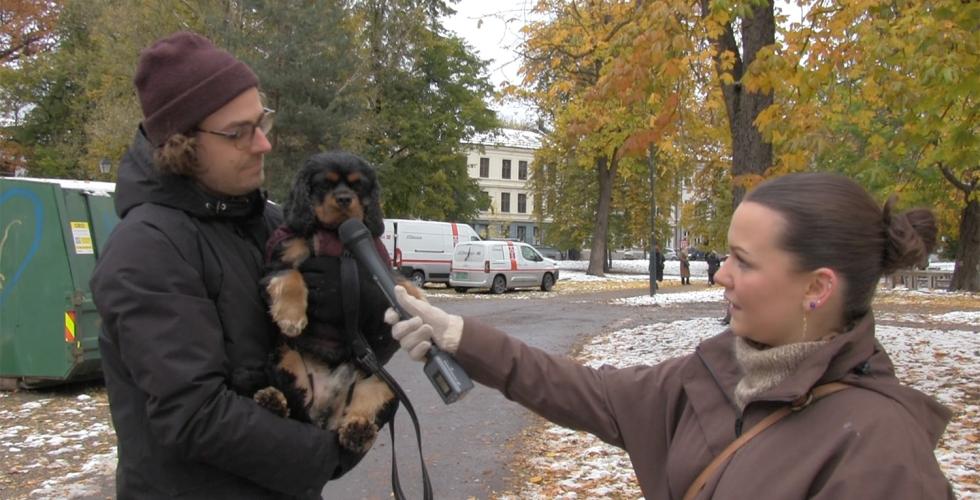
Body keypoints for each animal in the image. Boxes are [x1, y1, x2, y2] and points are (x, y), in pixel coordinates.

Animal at [253, 150, 418, 456]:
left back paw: (358, 431)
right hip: (283, 357)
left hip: (384, 383)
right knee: (294, 404)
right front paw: (291, 318)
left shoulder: (375, 261)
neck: (334, 233)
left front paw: (417, 303)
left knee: (362, 407)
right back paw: (272, 400)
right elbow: (291, 276)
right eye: (324, 184)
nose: (343, 199)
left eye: (357, 185)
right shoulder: (279, 259)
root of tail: (324, 412)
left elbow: (398, 280)